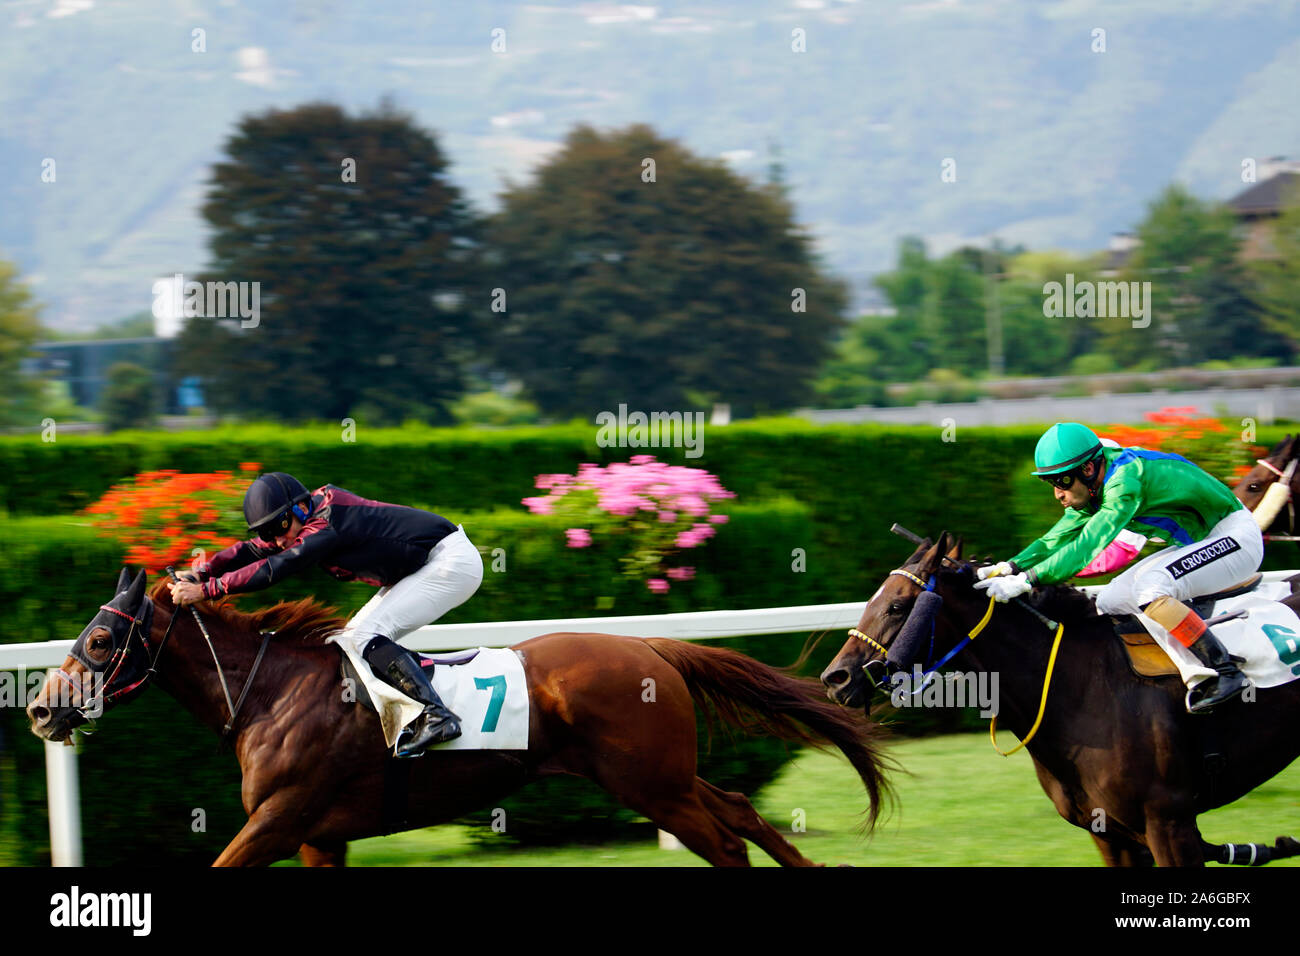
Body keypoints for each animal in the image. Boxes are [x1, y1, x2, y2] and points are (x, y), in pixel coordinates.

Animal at [27, 567, 894, 868]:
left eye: (99, 639)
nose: (38, 708)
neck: (270, 694)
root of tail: (650, 648)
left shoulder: (279, 819)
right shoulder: (319, 835)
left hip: (652, 784)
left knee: (724, 841)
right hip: (663, 777)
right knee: (740, 812)